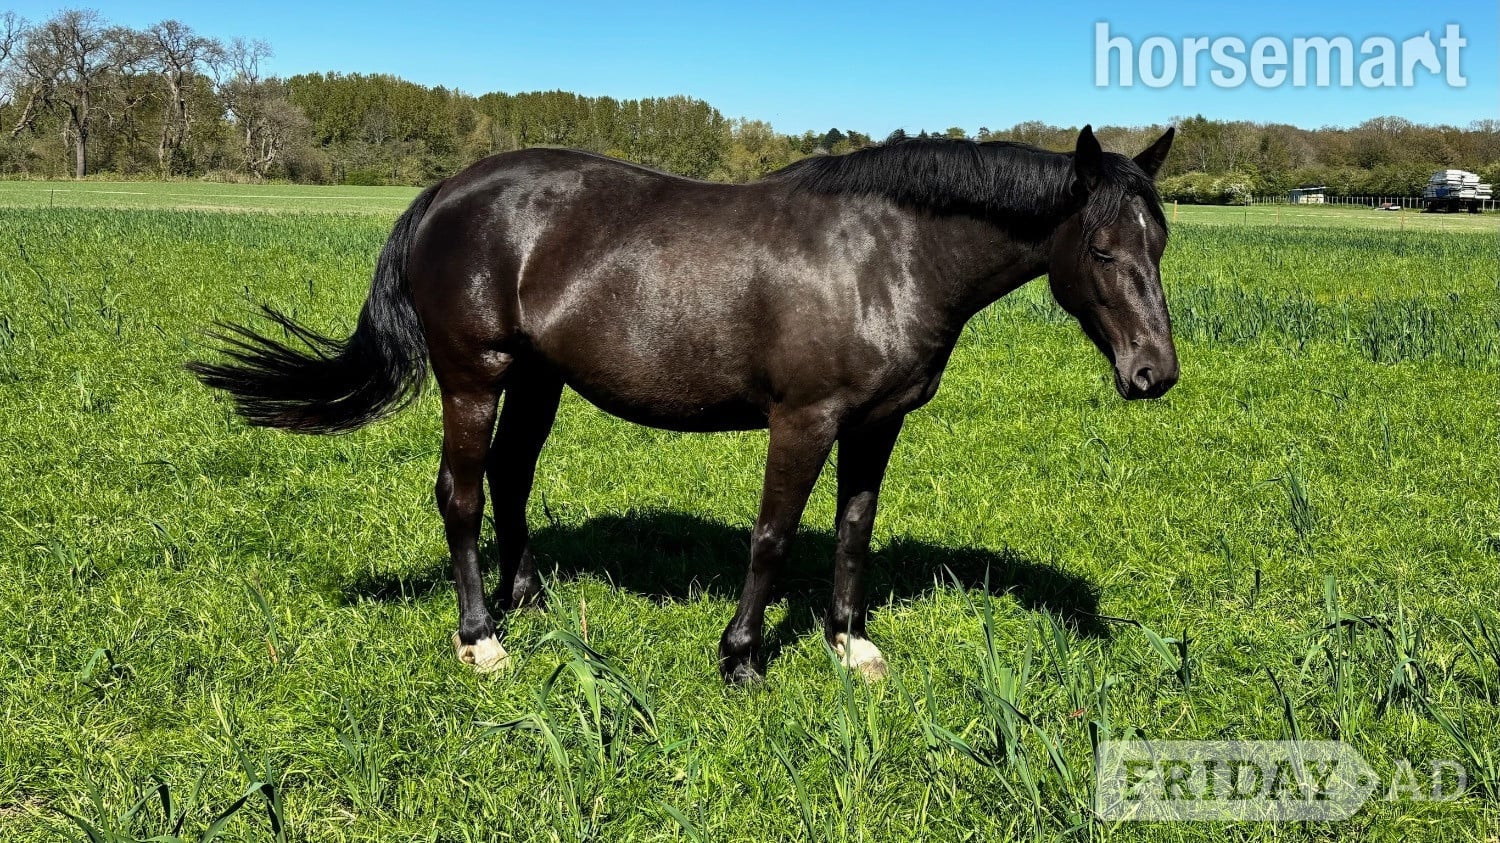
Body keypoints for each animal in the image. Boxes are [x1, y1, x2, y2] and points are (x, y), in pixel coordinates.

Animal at [189, 125, 1178, 684]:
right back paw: (481, 638)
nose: (1154, 374)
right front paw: (741, 656)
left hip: (538, 377)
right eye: (1101, 247)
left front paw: (849, 644)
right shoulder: (803, 420)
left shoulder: (877, 422)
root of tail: (445, 192)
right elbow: (773, 534)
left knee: (511, 478)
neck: (883, 255)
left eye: (1159, 240)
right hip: (476, 375)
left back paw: (527, 600)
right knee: (461, 493)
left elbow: (853, 528)